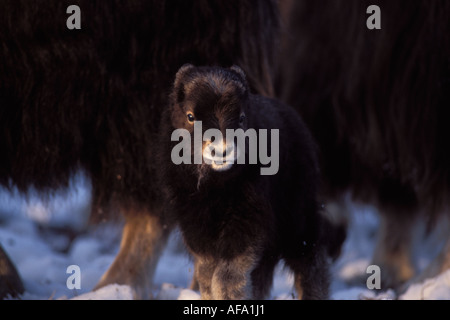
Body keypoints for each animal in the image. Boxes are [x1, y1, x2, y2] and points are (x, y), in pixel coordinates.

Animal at [158, 65, 338, 300]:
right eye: (190, 116)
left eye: (242, 117)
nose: (221, 151)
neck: (215, 187)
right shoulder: (196, 225)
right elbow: (207, 271)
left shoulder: (246, 220)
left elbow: (227, 273)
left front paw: (227, 296)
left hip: (298, 217)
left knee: (309, 259)